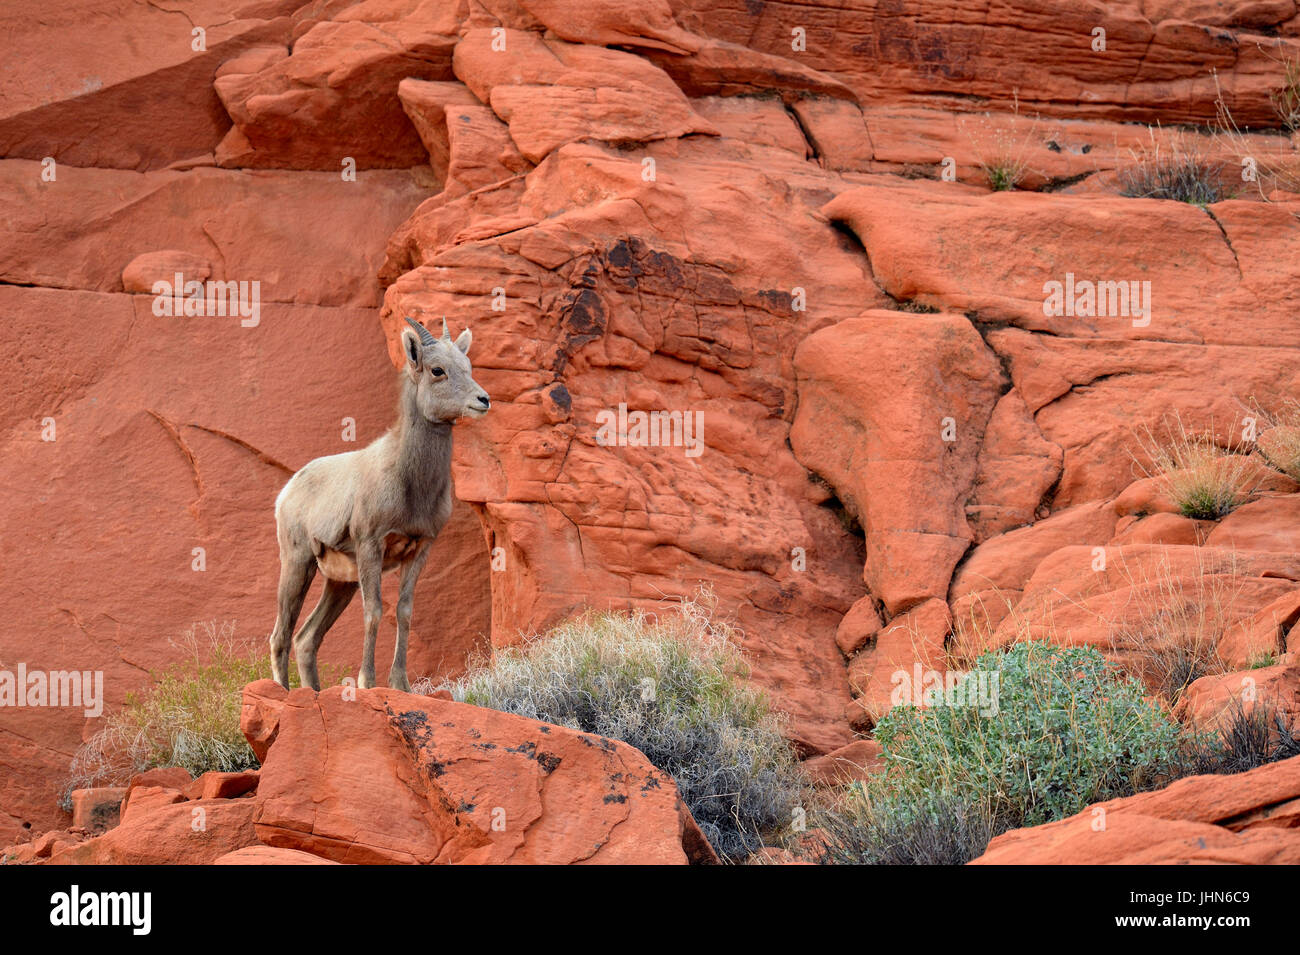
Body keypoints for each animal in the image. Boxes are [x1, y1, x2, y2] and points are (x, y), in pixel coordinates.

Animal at [266, 317, 488, 691]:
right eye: (437, 370)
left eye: (467, 367)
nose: (483, 400)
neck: (409, 483)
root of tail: (287, 492)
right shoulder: (371, 544)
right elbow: (374, 611)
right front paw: (367, 683)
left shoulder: (420, 549)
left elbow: (404, 612)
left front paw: (401, 685)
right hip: (298, 563)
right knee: (281, 635)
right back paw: (282, 692)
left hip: (339, 583)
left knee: (306, 638)